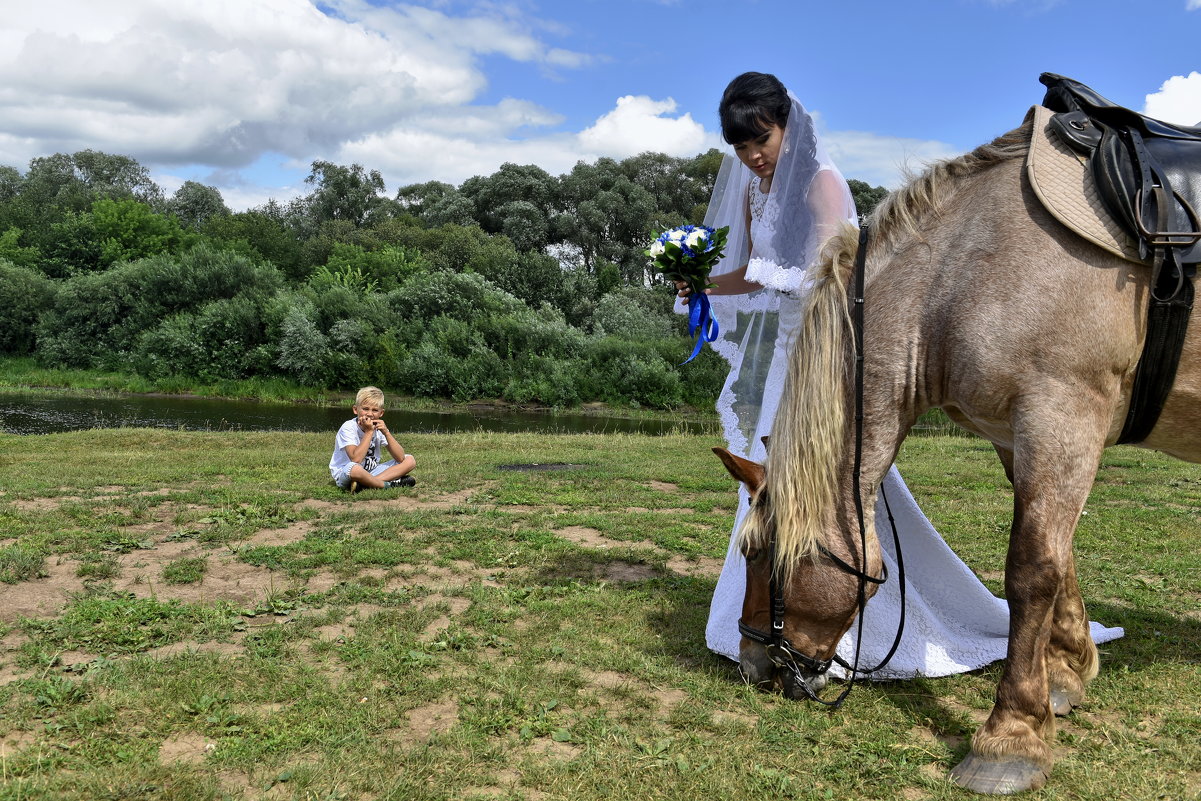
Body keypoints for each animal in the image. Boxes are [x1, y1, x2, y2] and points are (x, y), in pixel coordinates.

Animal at [725, 112, 1201, 797]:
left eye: (761, 553)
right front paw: (1064, 673)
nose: (753, 662)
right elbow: (1060, 554)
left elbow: (1032, 569)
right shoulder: (1020, 435)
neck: (970, 267)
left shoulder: (1061, 414)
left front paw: (1011, 735)